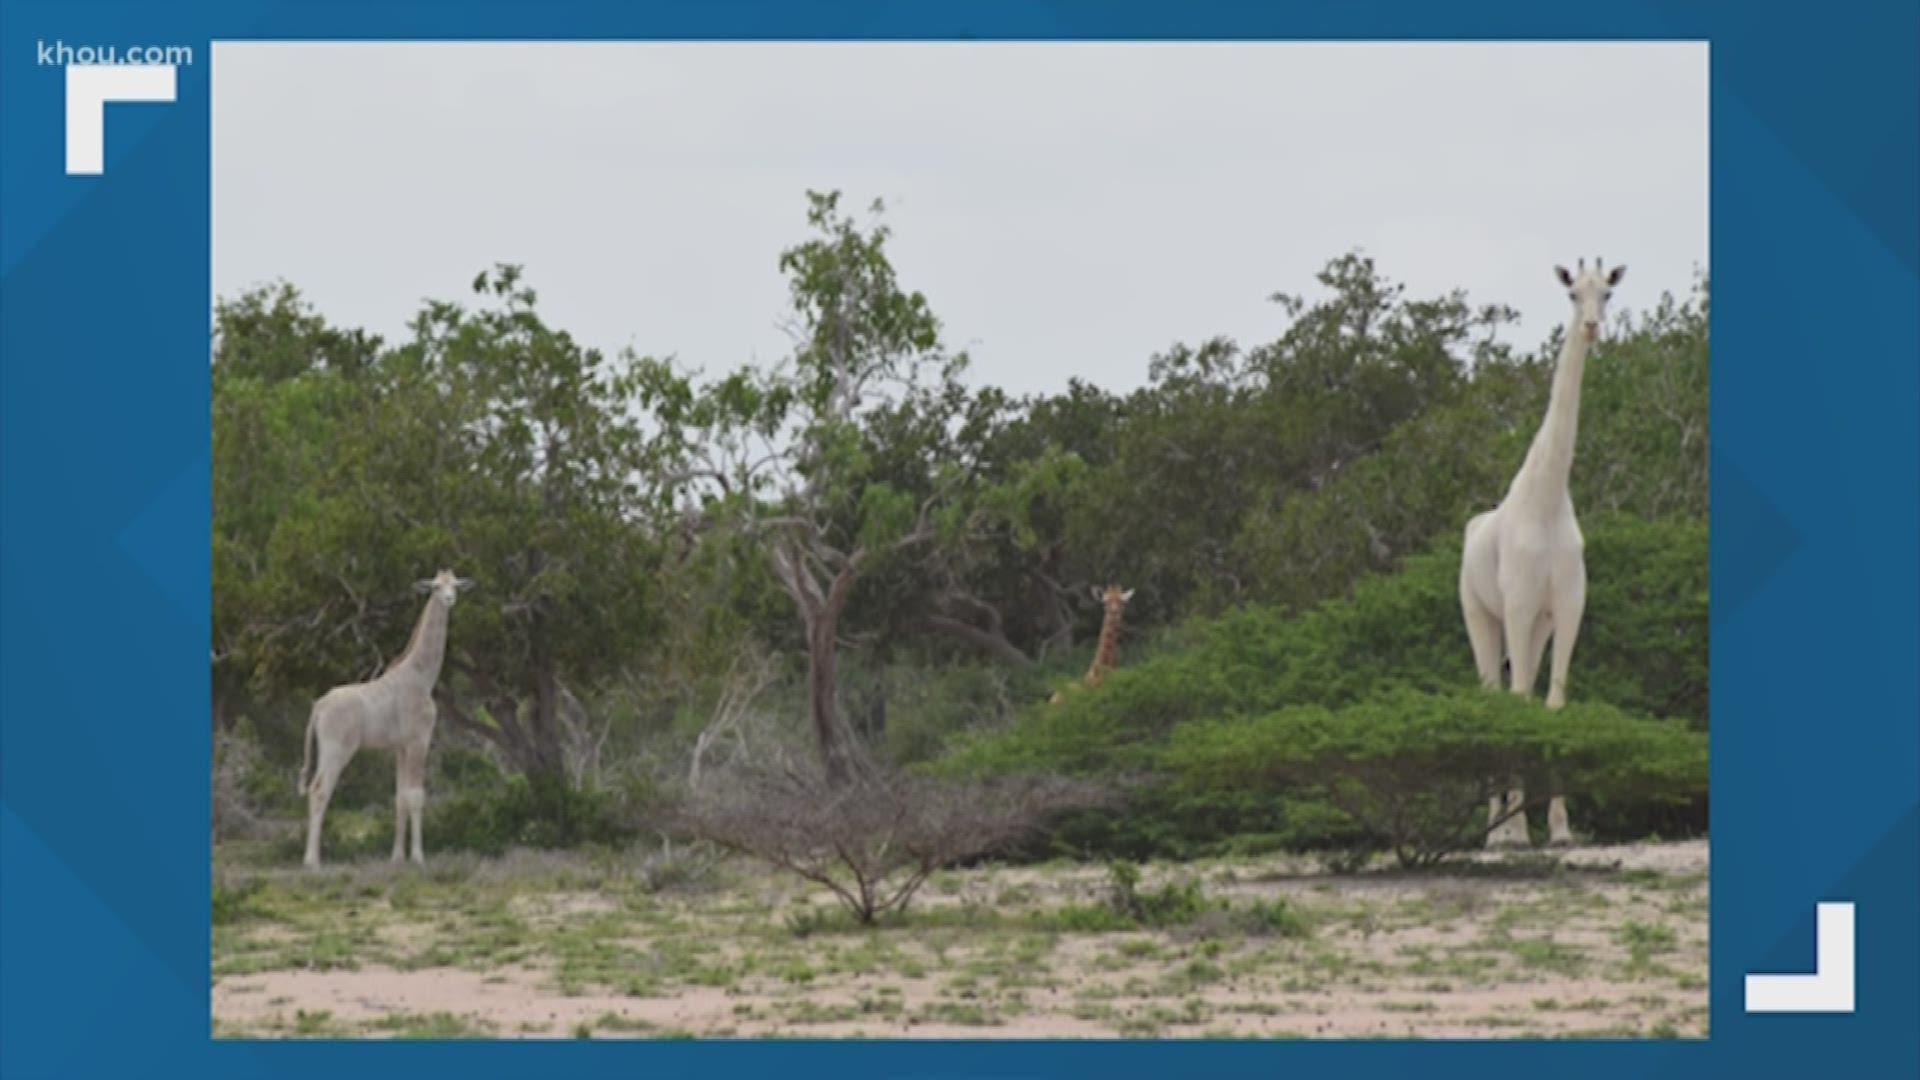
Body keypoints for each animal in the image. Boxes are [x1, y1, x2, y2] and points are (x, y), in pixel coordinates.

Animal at [297, 568, 470, 860]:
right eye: (436, 587)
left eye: (455, 585)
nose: (449, 599)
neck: (423, 677)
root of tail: (318, 706)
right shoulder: (419, 740)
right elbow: (416, 796)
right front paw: (418, 857)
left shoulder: (400, 746)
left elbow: (400, 798)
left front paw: (397, 857)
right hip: (337, 749)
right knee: (320, 791)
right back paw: (312, 861)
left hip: (324, 749)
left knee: (313, 789)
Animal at [1459, 259, 1628, 841]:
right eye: (1573, 293)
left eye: (1608, 294)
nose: (1592, 327)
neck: (1548, 496)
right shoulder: (1517, 603)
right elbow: (1513, 703)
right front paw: (1512, 830)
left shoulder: (1567, 605)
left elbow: (1551, 703)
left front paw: (1558, 827)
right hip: (1481, 613)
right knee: (1492, 693)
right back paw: (1495, 829)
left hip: (1536, 624)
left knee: (1525, 689)